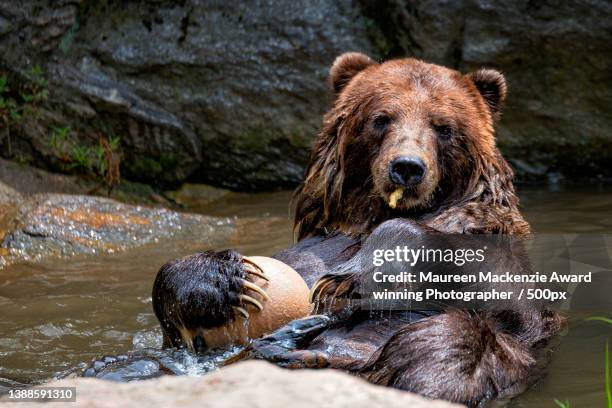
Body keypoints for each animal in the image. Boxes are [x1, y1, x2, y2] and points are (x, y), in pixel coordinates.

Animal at [92, 52, 564, 406]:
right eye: (382, 118)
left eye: (443, 126)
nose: (407, 167)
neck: (368, 216)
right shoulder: (313, 247)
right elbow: (177, 312)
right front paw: (229, 280)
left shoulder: (496, 248)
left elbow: (495, 294)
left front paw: (350, 281)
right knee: (130, 363)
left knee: (446, 345)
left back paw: (297, 353)